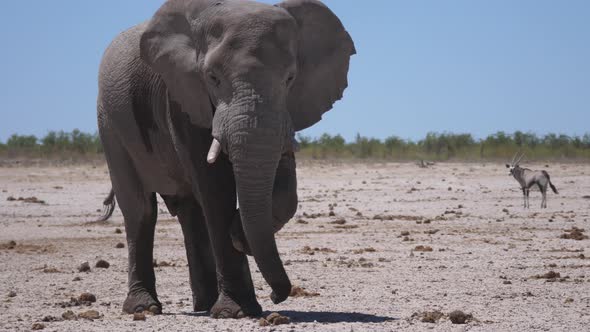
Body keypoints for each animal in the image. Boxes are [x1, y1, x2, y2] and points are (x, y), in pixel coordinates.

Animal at [97, 0, 356, 318]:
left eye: (290, 78)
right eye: (213, 78)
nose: (277, 296)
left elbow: (285, 190)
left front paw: (239, 233)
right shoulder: (182, 95)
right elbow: (215, 187)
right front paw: (236, 311)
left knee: (191, 212)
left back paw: (204, 305)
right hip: (110, 124)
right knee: (140, 209)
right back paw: (144, 308)